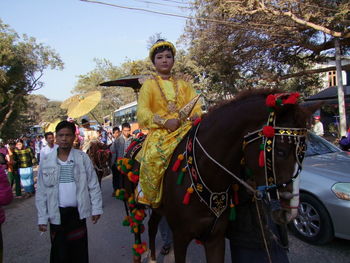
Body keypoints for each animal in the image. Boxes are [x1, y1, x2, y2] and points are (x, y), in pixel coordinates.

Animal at [121, 88, 318, 263]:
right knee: (138, 230)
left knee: (152, 225)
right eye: (281, 152)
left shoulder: (215, 238)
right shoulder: (180, 236)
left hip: (156, 208)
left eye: (304, 152)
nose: (291, 211)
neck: (206, 176)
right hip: (134, 203)